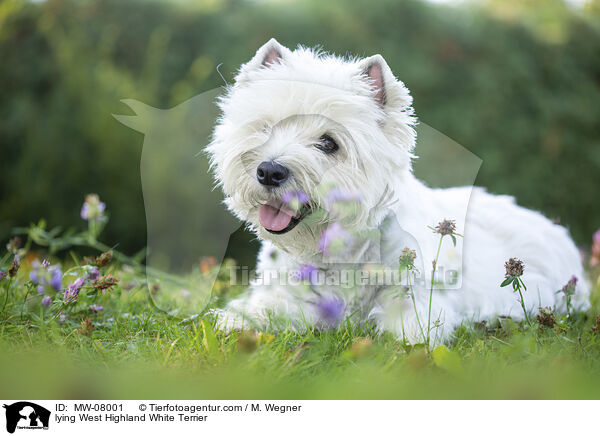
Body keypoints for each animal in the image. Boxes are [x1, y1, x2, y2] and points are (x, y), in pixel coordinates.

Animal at [205, 38, 584, 344]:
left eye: (329, 143)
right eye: (265, 127)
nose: (270, 172)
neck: (339, 251)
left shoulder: (415, 295)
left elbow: (408, 327)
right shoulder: (290, 294)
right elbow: (265, 310)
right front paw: (234, 321)